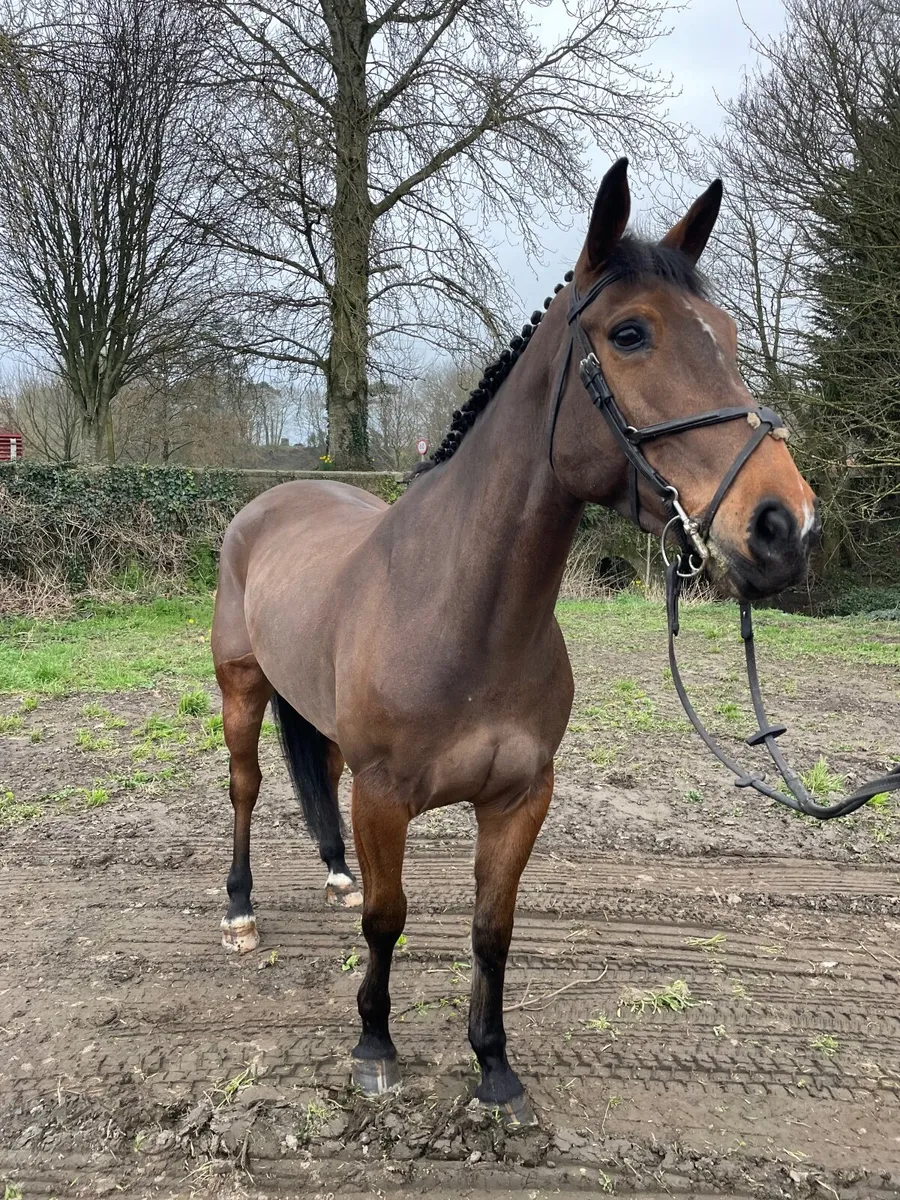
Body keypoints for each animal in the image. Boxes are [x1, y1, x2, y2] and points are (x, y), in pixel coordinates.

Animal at [211, 158, 819, 1123]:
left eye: (725, 334)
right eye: (630, 333)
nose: (783, 526)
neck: (466, 615)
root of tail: (271, 501)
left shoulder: (521, 799)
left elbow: (491, 929)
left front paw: (494, 1067)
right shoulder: (385, 798)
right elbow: (388, 919)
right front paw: (375, 1048)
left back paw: (335, 874)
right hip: (239, 689)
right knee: (244, 790)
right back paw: (239, 913)